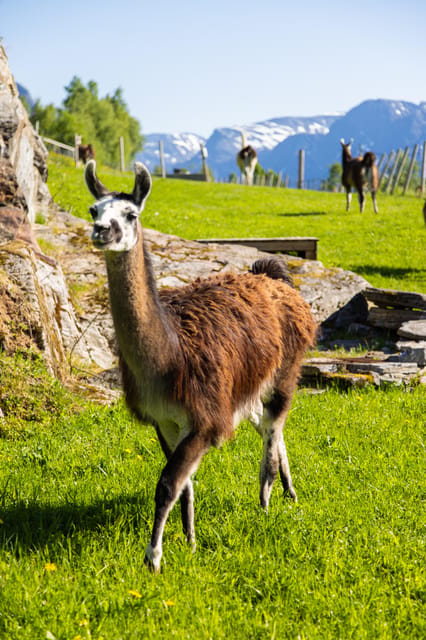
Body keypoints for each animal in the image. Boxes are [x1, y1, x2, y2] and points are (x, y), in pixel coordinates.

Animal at [84, 160, 317, 572]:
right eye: (94, 210)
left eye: (130, 214)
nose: (101, 231)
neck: (169, 355)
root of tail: (272, 278)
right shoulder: (165, 420)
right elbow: (185, 485)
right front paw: (190, 541)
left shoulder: (205, 417)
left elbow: (167, 484)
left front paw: (153, 559)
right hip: (245, 386)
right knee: (268, 428)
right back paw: (289, 491)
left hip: (286, 370)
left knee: (273, 433)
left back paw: (266, 503)